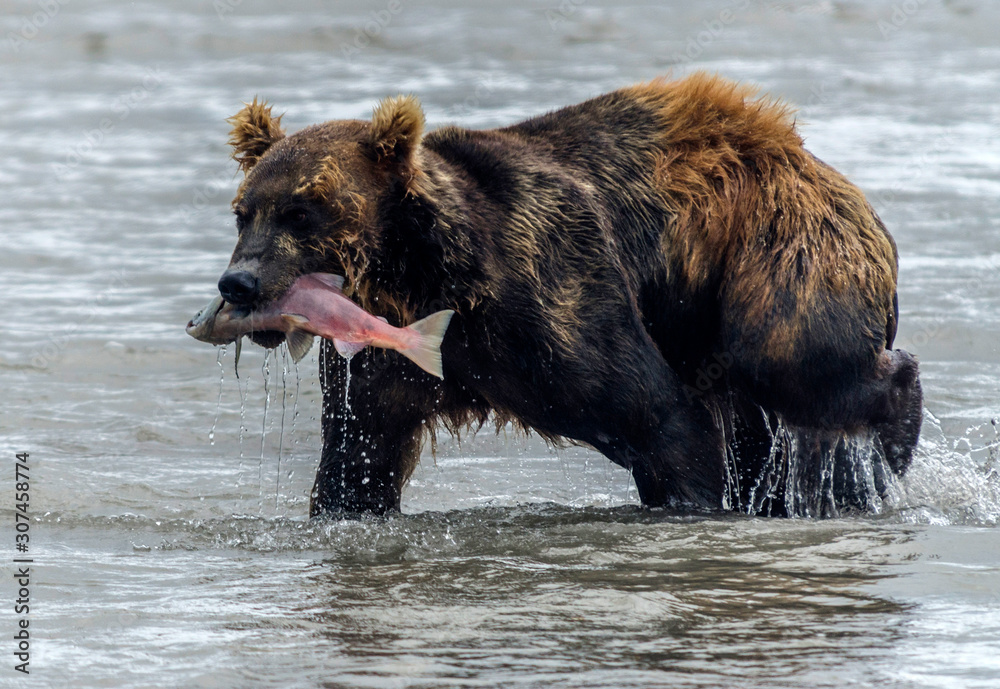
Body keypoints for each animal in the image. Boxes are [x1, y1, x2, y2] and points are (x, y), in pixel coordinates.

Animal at [215, 74, 924, 516]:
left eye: (302, 212)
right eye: (244, 212)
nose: (238, 283)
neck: (427, 278)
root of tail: (805, 154)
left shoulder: (548, 292)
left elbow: (658, 416)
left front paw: (688, 499)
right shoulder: (389, 358)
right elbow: (357, 457)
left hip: (775, 246)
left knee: (792, 359)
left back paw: (889, 441)